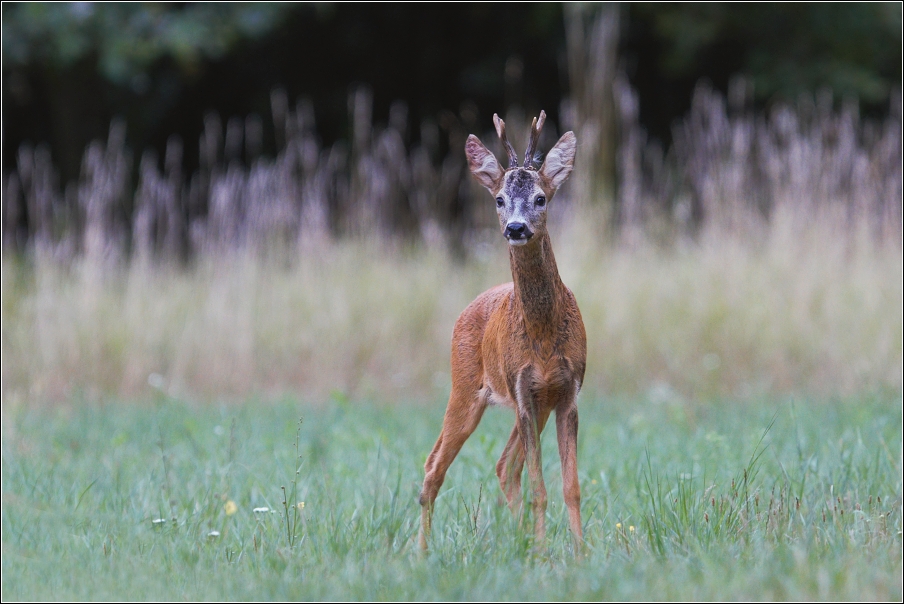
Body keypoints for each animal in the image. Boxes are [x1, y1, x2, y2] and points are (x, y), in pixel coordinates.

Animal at [418, 111, 588, 548]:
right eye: (498, 198)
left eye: (541, 198)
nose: (515, 228)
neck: (543, 337)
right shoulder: (523, 390)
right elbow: (540, 489)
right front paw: (545, 554)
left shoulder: (566, 392)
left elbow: (570, 486)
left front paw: (581, 552)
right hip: (464, 387)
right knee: (433, 465)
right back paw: (422, 552)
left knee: (504, 466)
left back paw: (519, 541)